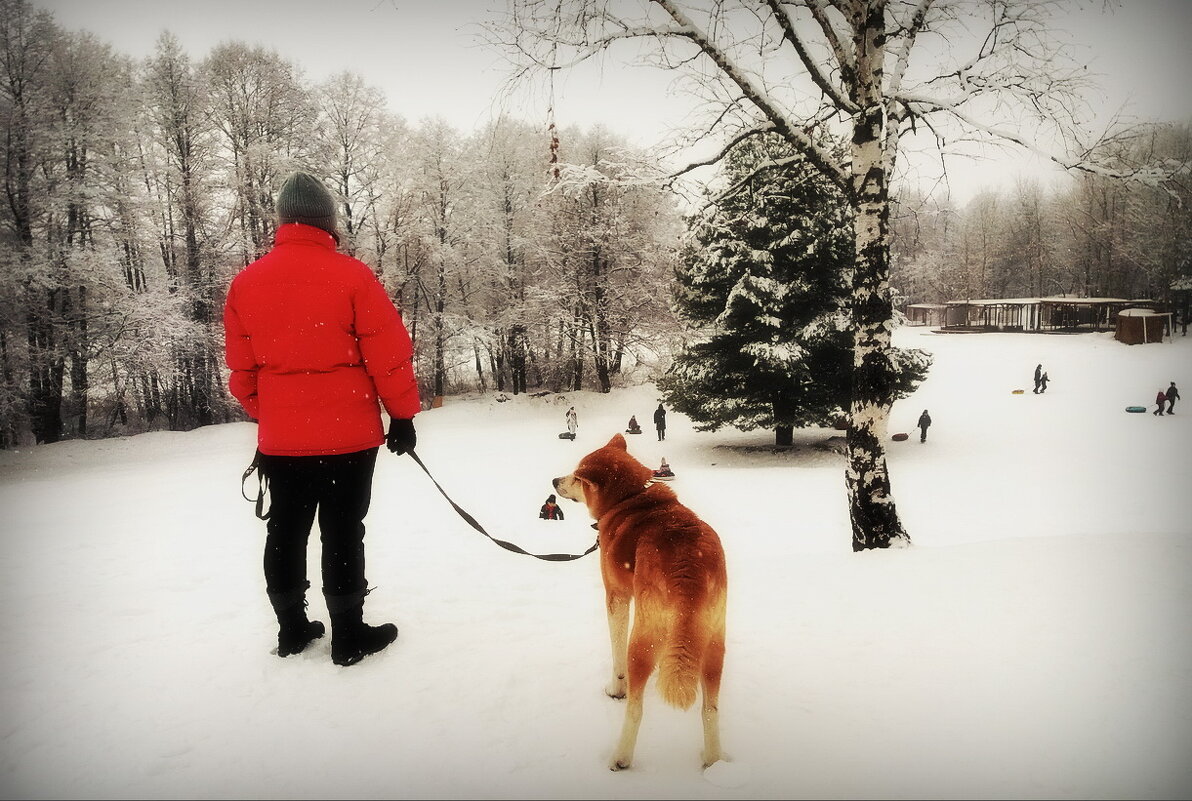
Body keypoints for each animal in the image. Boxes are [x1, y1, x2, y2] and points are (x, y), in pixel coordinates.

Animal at [555, 433, 729, 772]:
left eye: (578, 477)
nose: (555, 481)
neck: (630, 500)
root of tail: (689, 565)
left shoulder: (616, 596)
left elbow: (616, 655)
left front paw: (615, 689)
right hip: (714, 644)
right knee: (710, 710)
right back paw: (713, 761)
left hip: (642, 641)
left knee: (636, 708)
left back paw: (620, 758)